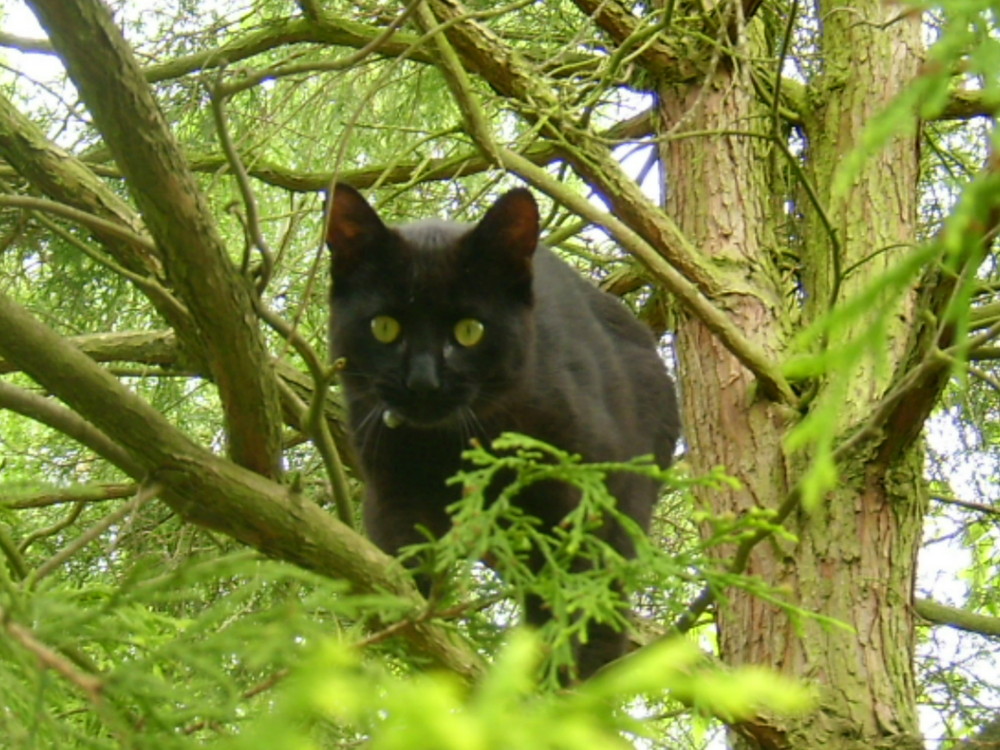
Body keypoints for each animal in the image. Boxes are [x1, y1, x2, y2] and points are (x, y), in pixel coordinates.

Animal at [328, 185, 680, 680]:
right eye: (384, 327)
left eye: (469, 331)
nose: (423, 382)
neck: (448, 445)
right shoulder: (393, 490)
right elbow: (407, 564)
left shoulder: (579, 497)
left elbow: (577, 595)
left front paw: (568, 675)